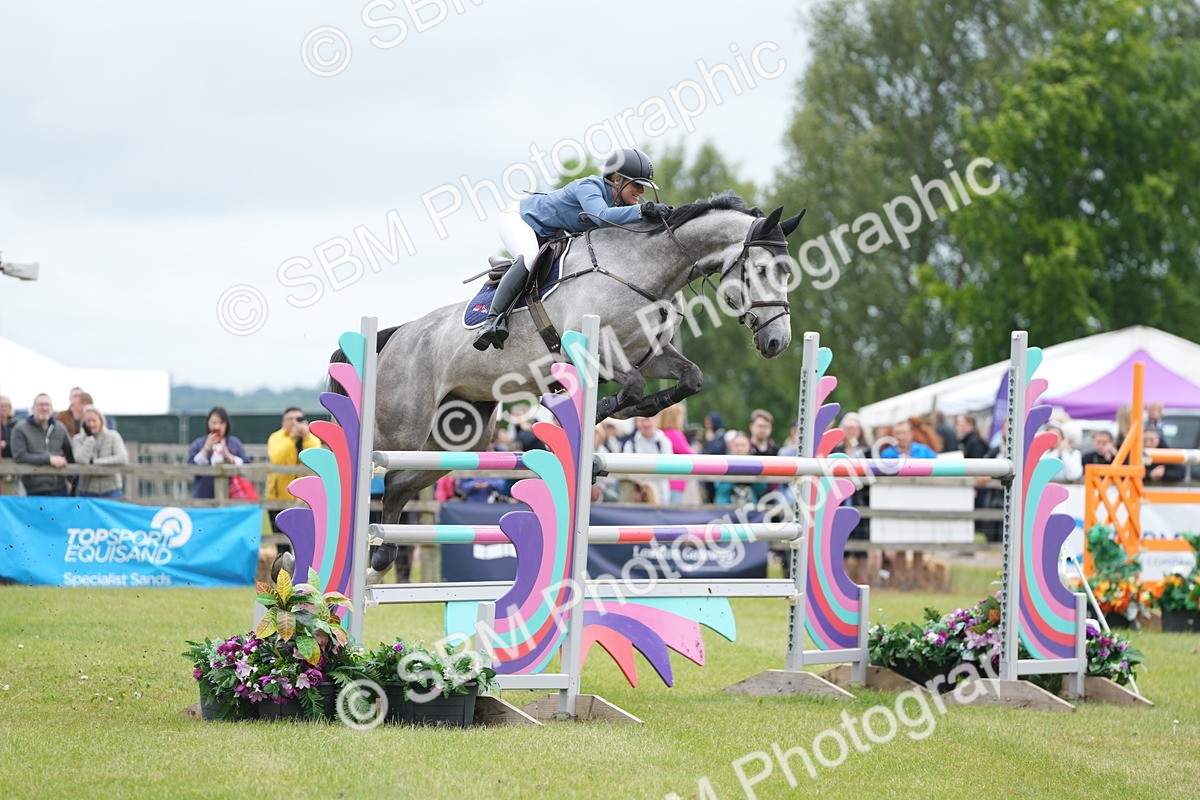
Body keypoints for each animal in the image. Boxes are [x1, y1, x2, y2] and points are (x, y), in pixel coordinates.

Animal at [336, 191, 805, 578]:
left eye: (787, 272)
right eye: (762, 269)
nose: (777, 342)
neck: (645, 270)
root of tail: (397, 334)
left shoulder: (651, 354)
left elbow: (688, 378)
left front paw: (624, 416)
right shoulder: (596, 352)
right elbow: (632, 386)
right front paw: (588, 415)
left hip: (461, 437)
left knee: (400, 483)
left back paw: (382, 555)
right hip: (402, 428)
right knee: (377, 469)